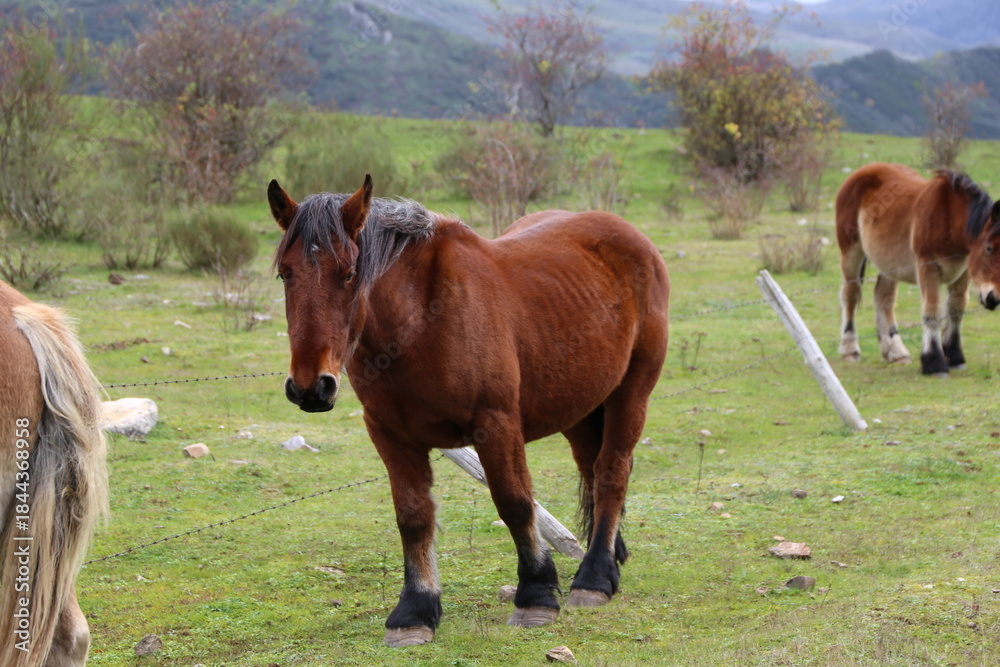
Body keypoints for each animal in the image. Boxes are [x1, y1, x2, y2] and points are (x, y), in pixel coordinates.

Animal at [268, 175, 669, 647]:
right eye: (285, 273)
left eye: (348, 273)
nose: (311, 388)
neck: (422, 321)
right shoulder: (390, 434)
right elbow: (413, 517)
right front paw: (415, 611)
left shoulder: (496, 426)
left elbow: (515, 503)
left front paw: (536, 596)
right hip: (578, 407)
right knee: (592, 468)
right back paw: (608, 557)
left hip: (631, 393)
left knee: (611, 471)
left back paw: (594, 578)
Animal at [836, 162, 1000, 375]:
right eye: (989, 248)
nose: (993, 299)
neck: (947, 219)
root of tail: (864, 169)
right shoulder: (928, 269)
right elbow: (932, 311)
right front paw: (934, 362)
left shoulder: (963, 272)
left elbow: (956, 308)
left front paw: (955, 356)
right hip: (851, 252)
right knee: (851, 293)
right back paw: (850, 349)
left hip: (890, 263)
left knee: (884, 297)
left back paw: (895, 351)